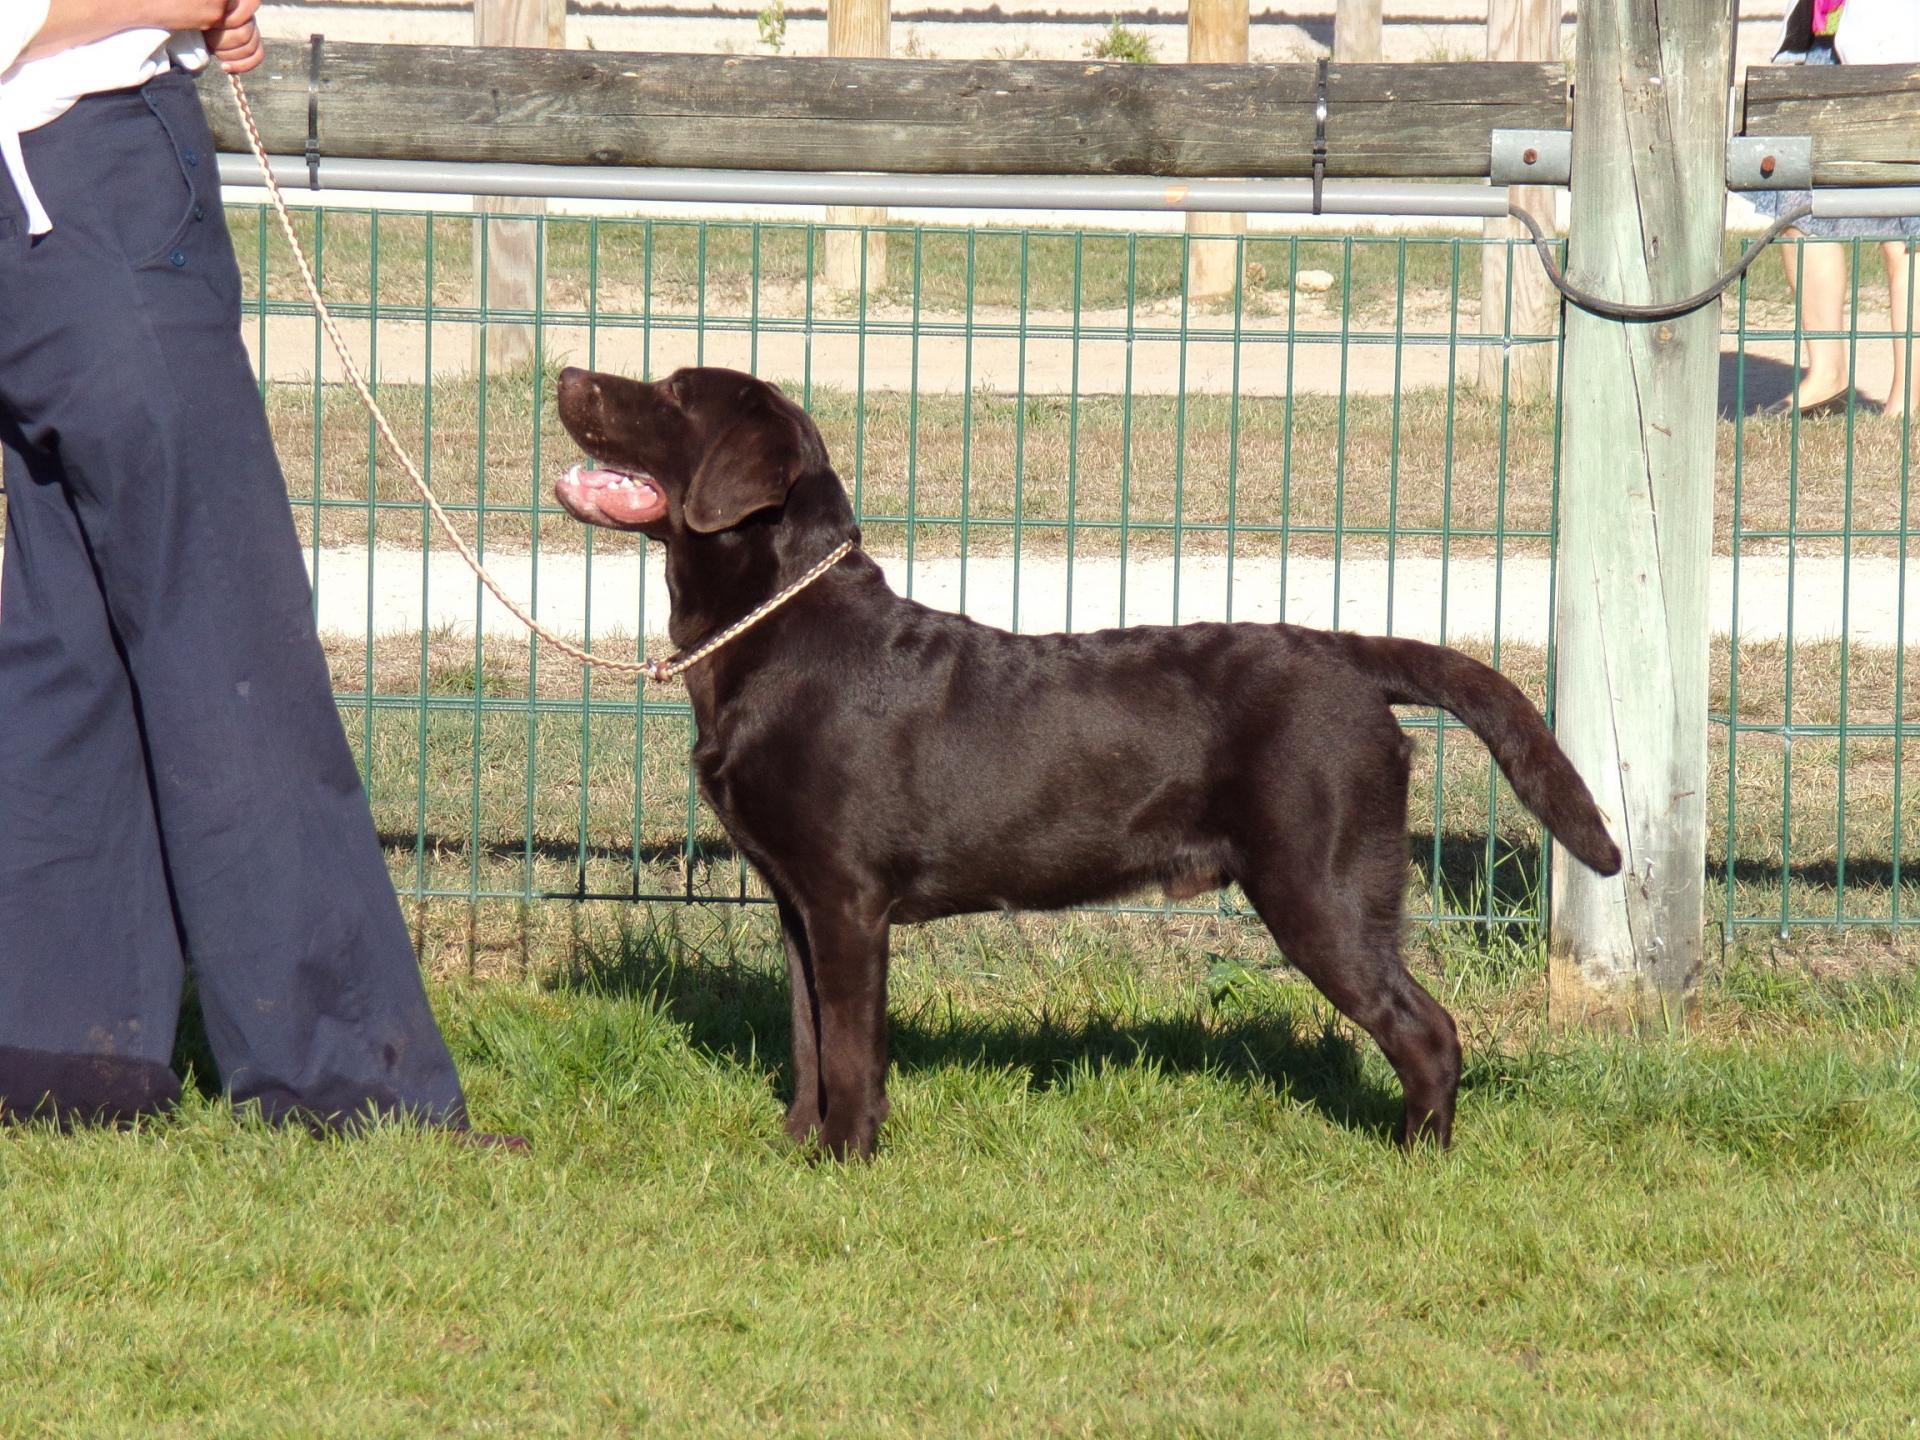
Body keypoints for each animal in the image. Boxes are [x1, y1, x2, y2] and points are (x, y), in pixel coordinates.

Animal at [552, 362, 1620, 1159]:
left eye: (671, 393)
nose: (566, 371)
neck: (775, 631)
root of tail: (1351, 655)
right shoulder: (796, 904)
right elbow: (809, 1040)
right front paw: (798, 1150)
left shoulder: (848, 904)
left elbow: (852, 1050)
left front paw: (850, 1159)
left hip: (1321, 888)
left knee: (1428, 1030)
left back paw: (1414, 1157)